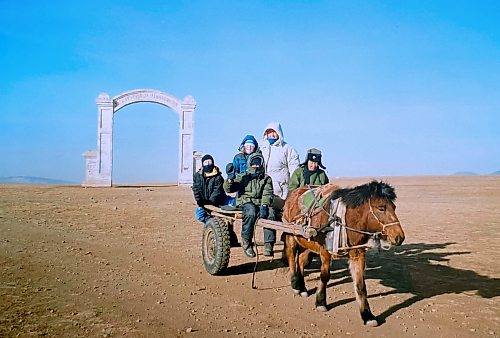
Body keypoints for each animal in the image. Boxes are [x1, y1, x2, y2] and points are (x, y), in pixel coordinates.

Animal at [282, 181, 406, 326]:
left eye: (394, 207)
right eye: (381, 208)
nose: (399, 237)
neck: (343, 219)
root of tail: (293, 194)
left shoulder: (358, 253)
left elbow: (360, 284)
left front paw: (367, 315)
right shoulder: (325, 251)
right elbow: (325, 276)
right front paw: (321, 302)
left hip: (307, 242)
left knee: (301, 261)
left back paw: (302, 288)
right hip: (291, 235)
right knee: (291, 258)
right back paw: (295, 285)